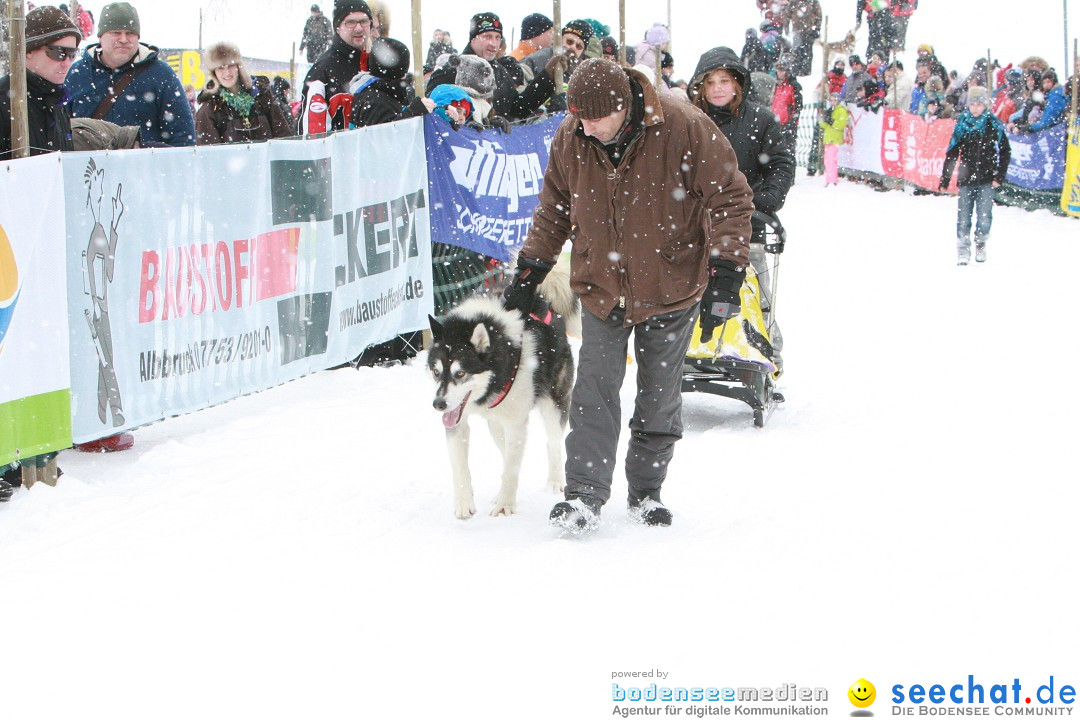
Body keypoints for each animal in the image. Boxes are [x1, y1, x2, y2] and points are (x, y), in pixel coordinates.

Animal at [425, 268, 578, 518]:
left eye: (460, 373)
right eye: (437, 371)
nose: (438, 404)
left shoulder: (516, 423)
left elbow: (511, 468)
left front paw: (505, 505)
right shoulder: (458, 421)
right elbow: (460, 466)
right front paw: (464, 503)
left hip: (553, 402)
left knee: (553, 443)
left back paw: (555, 481)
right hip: (496, 423)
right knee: (505, 448)